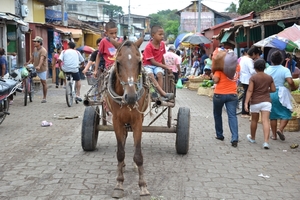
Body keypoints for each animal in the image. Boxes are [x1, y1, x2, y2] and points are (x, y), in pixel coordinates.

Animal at [106, 37, 151, 198]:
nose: (131, 97)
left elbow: (138, 154)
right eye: (118, 63)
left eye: (139, 62)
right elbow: (120, 152)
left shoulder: (137, 121)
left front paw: (143, 186)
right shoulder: (116, 121)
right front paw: (119, 184)